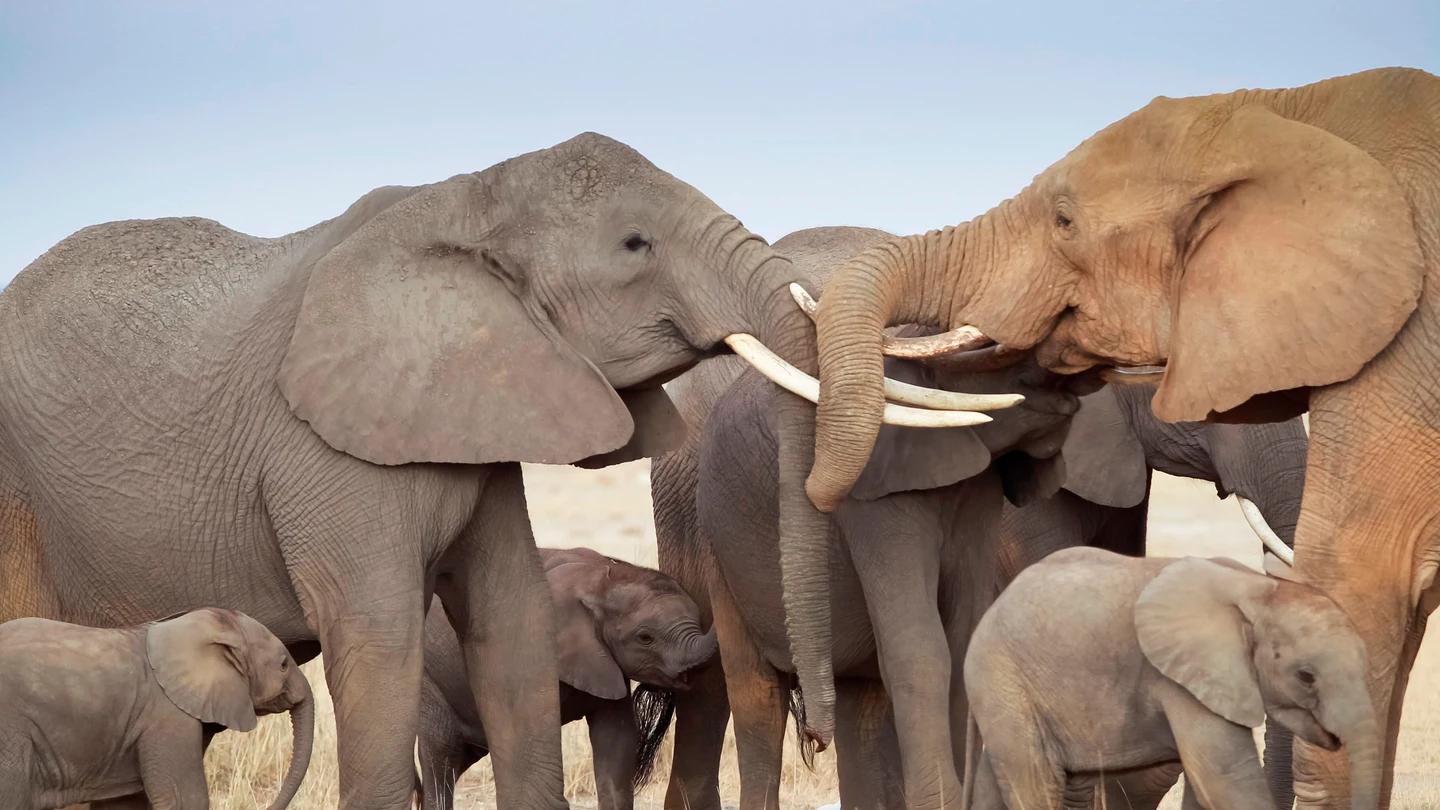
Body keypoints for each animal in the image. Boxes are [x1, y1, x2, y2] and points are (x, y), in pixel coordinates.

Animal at [963, 548, 1373, 810]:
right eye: (1306, 677)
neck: (1255, 587)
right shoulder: (1182, 680)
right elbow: (1226, 780)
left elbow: (1204, 785)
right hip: (1001, 676)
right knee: (1034, 782)